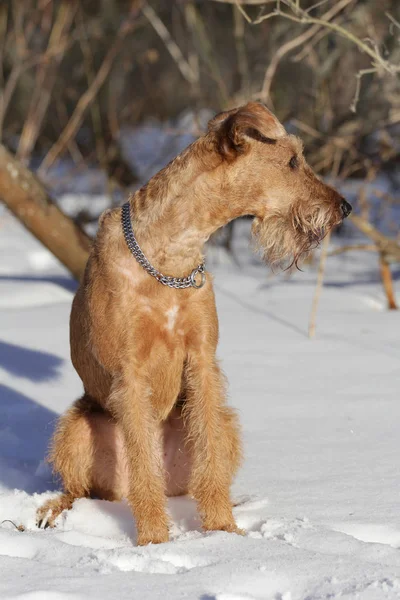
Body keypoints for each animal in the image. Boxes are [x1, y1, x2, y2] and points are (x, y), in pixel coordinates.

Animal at [36, 102, 350, 544]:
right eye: (291, 160)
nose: (345, 207)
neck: (170, 256)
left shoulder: (202, 360)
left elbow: (209, 452)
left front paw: (221, 529)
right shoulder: (131, 373)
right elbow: (143, 463)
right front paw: (154, 539)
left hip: (228, 422)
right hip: (77, 429)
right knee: (80, 489)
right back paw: (55, 512)